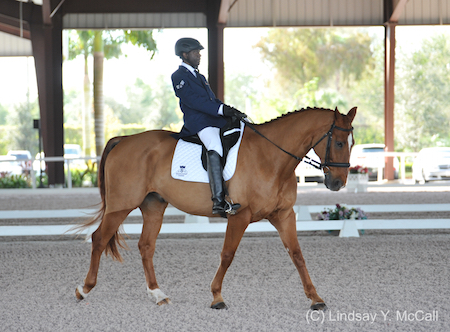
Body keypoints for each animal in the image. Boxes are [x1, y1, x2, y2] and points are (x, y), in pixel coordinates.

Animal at [75, 106, 356, 312]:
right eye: (340, 143)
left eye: (351, 143)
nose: (338, 183)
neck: (271, 158)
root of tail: (123, 139)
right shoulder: (240, 215)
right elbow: (227, 255)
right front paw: (217, 297)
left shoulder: (284, 215)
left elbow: (297, 254)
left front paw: (315, 298)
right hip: (120, 205)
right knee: (99, 238)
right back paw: (84, 289)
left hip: (153, 205)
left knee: (145, 246)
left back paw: (158, 294)